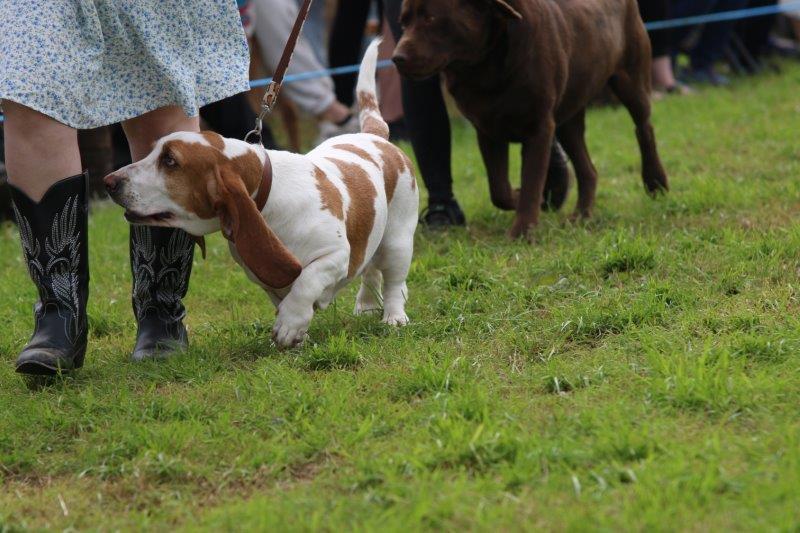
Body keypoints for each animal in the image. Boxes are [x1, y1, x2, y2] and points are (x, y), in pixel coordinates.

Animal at [105, 40, 419, 348]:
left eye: (170, 161)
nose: (109, 182)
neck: (269, 200)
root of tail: (375, 135)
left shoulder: (335, 255)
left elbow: (306, 282)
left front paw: (289, 326)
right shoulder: (266, 278)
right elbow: (285, 297)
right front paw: (298, 333)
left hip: (397, 242)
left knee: (393, 282)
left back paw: (393, 317)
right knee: (370, 273)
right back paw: (365, 307)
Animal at [393, 0, 669, 239]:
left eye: (430, 18)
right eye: (403, 22)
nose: (396, 57)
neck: (485, 68)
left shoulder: (539, 127)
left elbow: (531, 180)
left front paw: (523, 230)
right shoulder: (487, 129)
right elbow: (499, 189)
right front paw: (525, 199)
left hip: (630, 78)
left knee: (644, 127)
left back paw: (656, 182)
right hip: (569, 118)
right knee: (588, 169)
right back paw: (581, 215)